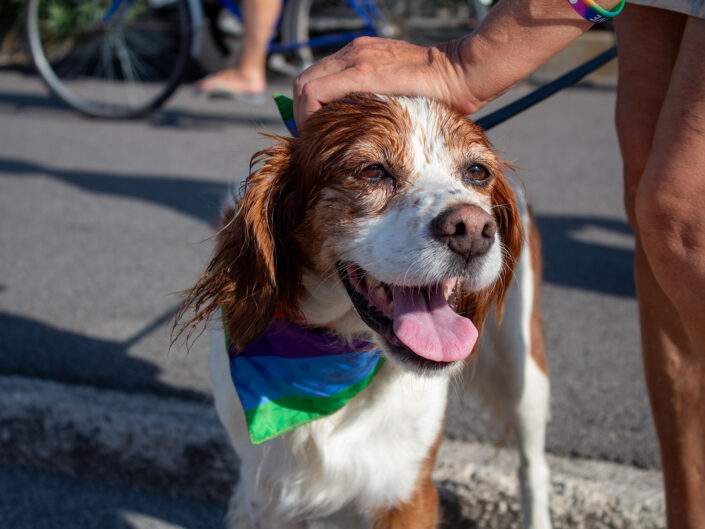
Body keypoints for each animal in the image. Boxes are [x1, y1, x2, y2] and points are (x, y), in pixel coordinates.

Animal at [180, 93, 552, 524]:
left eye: (477, 171)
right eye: (373, 170)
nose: (474, 229)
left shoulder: (408, 491)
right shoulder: (265, 494)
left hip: (524, 372)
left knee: (533, 466)